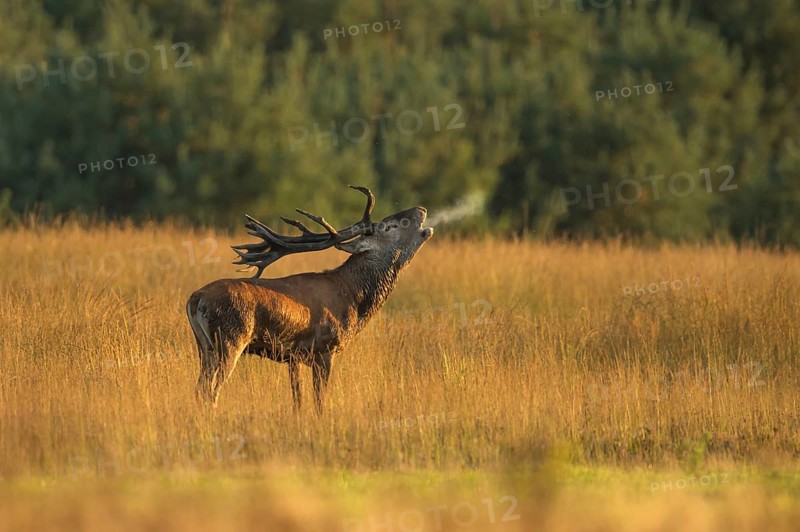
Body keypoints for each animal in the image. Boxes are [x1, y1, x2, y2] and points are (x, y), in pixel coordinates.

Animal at [186, 185, 434, 411]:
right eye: (389, 226)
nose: (421, 208)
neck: (354, 299)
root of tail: (196, 298)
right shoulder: (325, 348)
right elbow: (319, 400)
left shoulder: (293, 356)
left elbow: (298, 399)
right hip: (230, 339)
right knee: (211, 390)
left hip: (204, 347)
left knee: (200, 388)